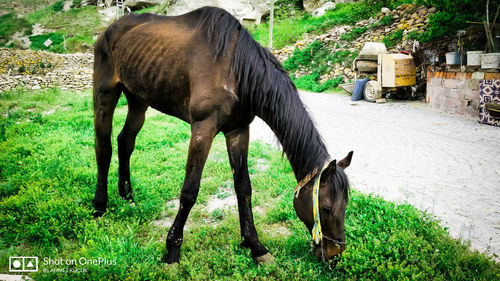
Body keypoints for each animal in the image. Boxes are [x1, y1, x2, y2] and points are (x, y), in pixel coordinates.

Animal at [93, 5, 352, 262]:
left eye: (346, 205)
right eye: (326, 208)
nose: (335, 252)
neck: (235, 70)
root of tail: (110, 29)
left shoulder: (238, 131)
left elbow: (243, 187)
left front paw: (255, 246)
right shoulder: (202, 130)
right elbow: (190, 190)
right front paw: (172, 249)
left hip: (138, 100)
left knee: (125, 142)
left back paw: (128, 197)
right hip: (105, 94)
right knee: (104, 148)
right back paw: (99, 206)